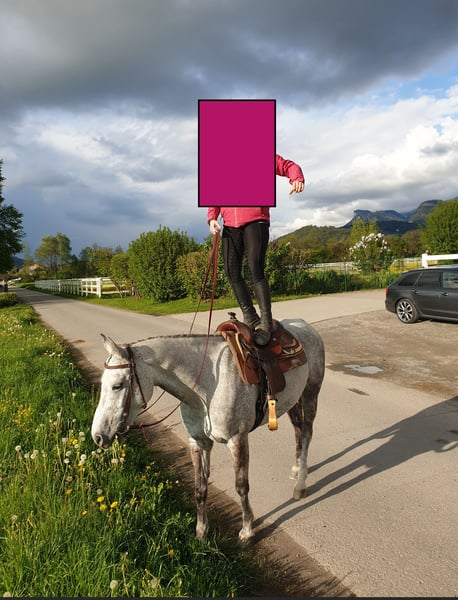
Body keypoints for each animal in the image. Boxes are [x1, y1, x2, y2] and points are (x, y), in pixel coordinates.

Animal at [91, 317, 325, 543]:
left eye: (117, 385)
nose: (97, 436)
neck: (206, 387)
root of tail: (305, 326)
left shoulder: (237, 440)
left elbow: (241, 486)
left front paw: (247, 531)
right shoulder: (198, 441)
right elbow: (200, 489)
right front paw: (201, 532)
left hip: (310, 394)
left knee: (306, 433)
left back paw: (301, 484)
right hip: (292, 400)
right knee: (298, 431)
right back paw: (296, 469)